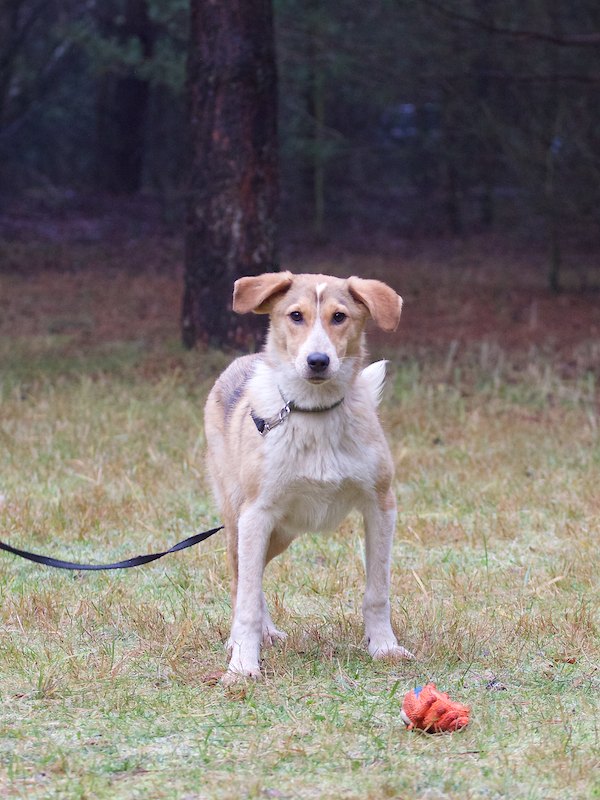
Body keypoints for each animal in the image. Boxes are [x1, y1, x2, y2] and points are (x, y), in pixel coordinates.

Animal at [204, 272, 414, 681]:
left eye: (339, 316)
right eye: (296, 315)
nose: (318, 361)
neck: (314, 414)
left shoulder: (381, 506)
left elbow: (377, 591)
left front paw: (384, 647)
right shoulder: (256, 515)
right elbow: (247, 600)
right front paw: (243, 665)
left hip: (282, 533)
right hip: (240, 520)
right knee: (241, 581)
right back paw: (246, 640)